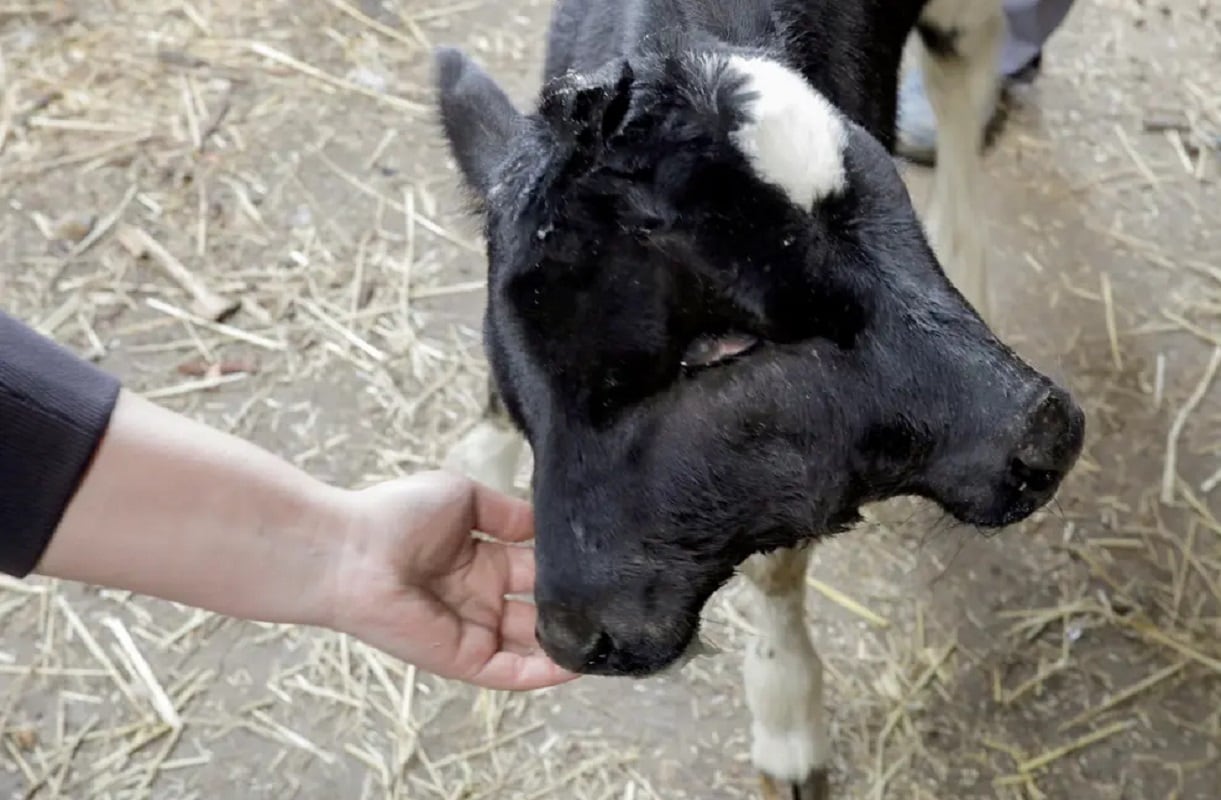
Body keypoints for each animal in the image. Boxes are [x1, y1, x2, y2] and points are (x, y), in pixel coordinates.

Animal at [434, 0, 1084, 796]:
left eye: (722, 346)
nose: (1047, 430)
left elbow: (776, 569)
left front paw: (786, 721)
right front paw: (476, 465)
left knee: (963, 74)